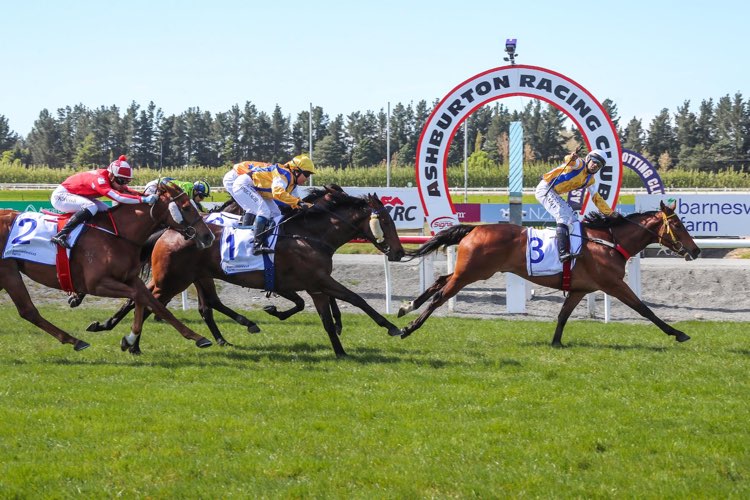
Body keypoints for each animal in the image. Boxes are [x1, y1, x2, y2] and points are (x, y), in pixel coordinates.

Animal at [0, 182, 216, 351]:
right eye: (186, 207)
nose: (208, 236)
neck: (116, 235)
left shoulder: (130, 279)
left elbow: (155, 304)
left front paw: (198, 337)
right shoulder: (97, 284)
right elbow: (138, 297)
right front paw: (129, 338)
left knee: (27, 311)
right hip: (8, 271)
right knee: (28, 310)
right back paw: (75, 341)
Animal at [93, 186, 405, 356]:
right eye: (386, 221)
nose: (399, 252)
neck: (310, 234)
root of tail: (168, 231)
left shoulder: (313, 284)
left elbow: (327, 315)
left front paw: (340, 349)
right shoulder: (317, 280)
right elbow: (355, 299)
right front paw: (393, 327)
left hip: (191, 277)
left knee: (185, 304)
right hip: (172, 279)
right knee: (149, 302)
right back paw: (129, 340)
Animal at [398, 201, 701, 347]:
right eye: (677, 224)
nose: (696, 250)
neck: (609, 241)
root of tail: (474, 229)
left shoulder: (580, 289)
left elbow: (562, 316)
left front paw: (556, 342)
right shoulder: (613, 284)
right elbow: (644, 309)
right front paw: (677, 333)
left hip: (469, 270)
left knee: (440, 280)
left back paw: (406, 306)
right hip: (472, 273)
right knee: (440, 295)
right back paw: (408, 327)